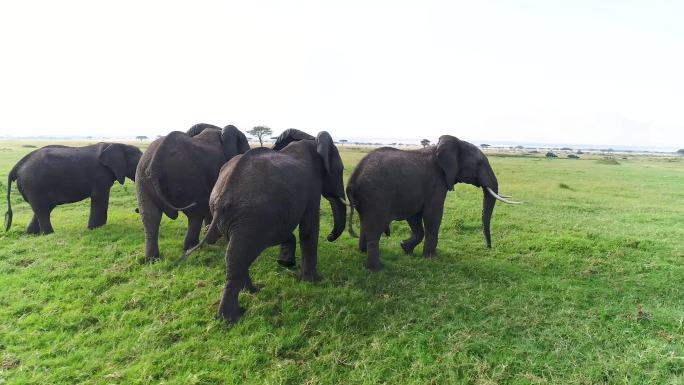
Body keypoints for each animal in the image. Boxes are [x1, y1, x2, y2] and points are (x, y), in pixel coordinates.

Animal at [5, 142, 143, 234]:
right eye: (136, 164)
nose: (136, 210)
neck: (119, 144)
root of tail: (16, 167)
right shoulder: (100, 175)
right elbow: (99, 196)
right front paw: (96, 229)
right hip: (35, 184)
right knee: (43, 211)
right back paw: (49, 234)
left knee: (40, 210)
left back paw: (32, 234)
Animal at [135, 123, 250, 260]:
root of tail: (154, 164)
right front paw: (213, 239)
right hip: (187, 176)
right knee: (195, 213)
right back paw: (192, 248)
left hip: (142, 178)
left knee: (149, 216)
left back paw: (152, 259)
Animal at [183, 129, 348, 320]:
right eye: (340, 170)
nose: (330, 236)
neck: (313, 142)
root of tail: (223, 195)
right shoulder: (312, 187)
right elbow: (309, 228)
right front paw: (313, 281)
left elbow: (284, 231)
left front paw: (285, 263)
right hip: (251, 216)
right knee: (237, 255)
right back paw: (232, 317)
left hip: (238, 218)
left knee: (236, 253)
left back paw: (252, 291)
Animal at [348, 135, 520, 270]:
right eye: (478, 164)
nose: (488, 248)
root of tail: (353, 180)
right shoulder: (436, 182)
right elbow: (433, 215)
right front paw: (431, 258)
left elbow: (415, 217)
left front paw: (405, 248)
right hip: (375, 196)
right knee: (374, 230)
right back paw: (377, 268)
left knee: (365, 224)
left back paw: (362, 251)